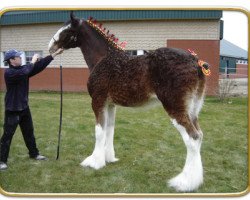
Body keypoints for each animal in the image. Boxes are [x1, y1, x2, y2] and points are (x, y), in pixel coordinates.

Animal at [48, 12, 207, 192]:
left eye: (67, 30)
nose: (50, 47)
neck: (103, 57)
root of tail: (196, 62)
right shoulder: (110, 105)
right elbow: (109, 129)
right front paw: (108, 158)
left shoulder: (98, 101)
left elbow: (99, 131)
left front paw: (94, 162)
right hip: (193, 110)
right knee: (199, 136)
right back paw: (195, 180)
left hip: (175, 108)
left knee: (192, 138)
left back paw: (185, 182)